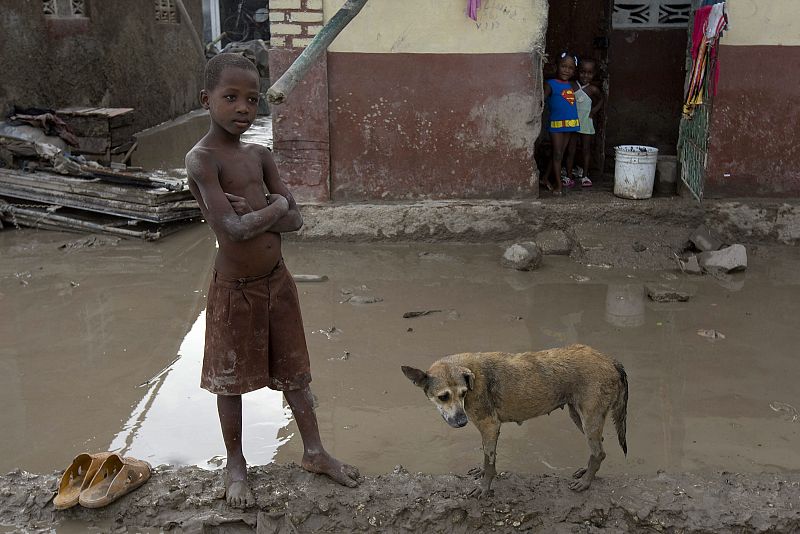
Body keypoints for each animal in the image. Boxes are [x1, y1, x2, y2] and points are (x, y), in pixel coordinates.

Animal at [404, 346, 628, 500]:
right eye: (443, 397)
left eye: (462, 393)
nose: (461, 421)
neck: (471, 375)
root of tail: (611, 360)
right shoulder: (486, 429)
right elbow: (486, 455)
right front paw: (481, 473)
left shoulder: (490, 426)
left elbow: (490, 462)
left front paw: (484, 488)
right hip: (579, 417)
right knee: (600, 448)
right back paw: (586, 472)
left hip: (589, 419)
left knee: (598, 452)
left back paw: (586, 483)